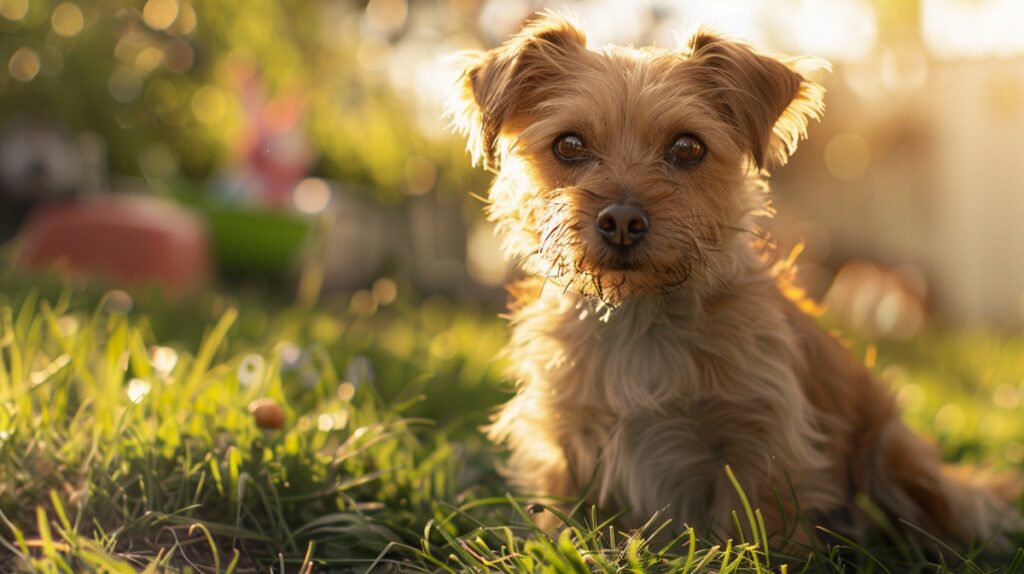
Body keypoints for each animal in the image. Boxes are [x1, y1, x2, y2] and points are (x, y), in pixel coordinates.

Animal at [446, 11, 1015, 544]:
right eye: (568, 145)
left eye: (687, 148)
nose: (623, 220)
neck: (640, 316)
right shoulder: (566, 442)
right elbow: (564, 524)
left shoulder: (761, 445)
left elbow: (756, 533)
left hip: (897, 456)